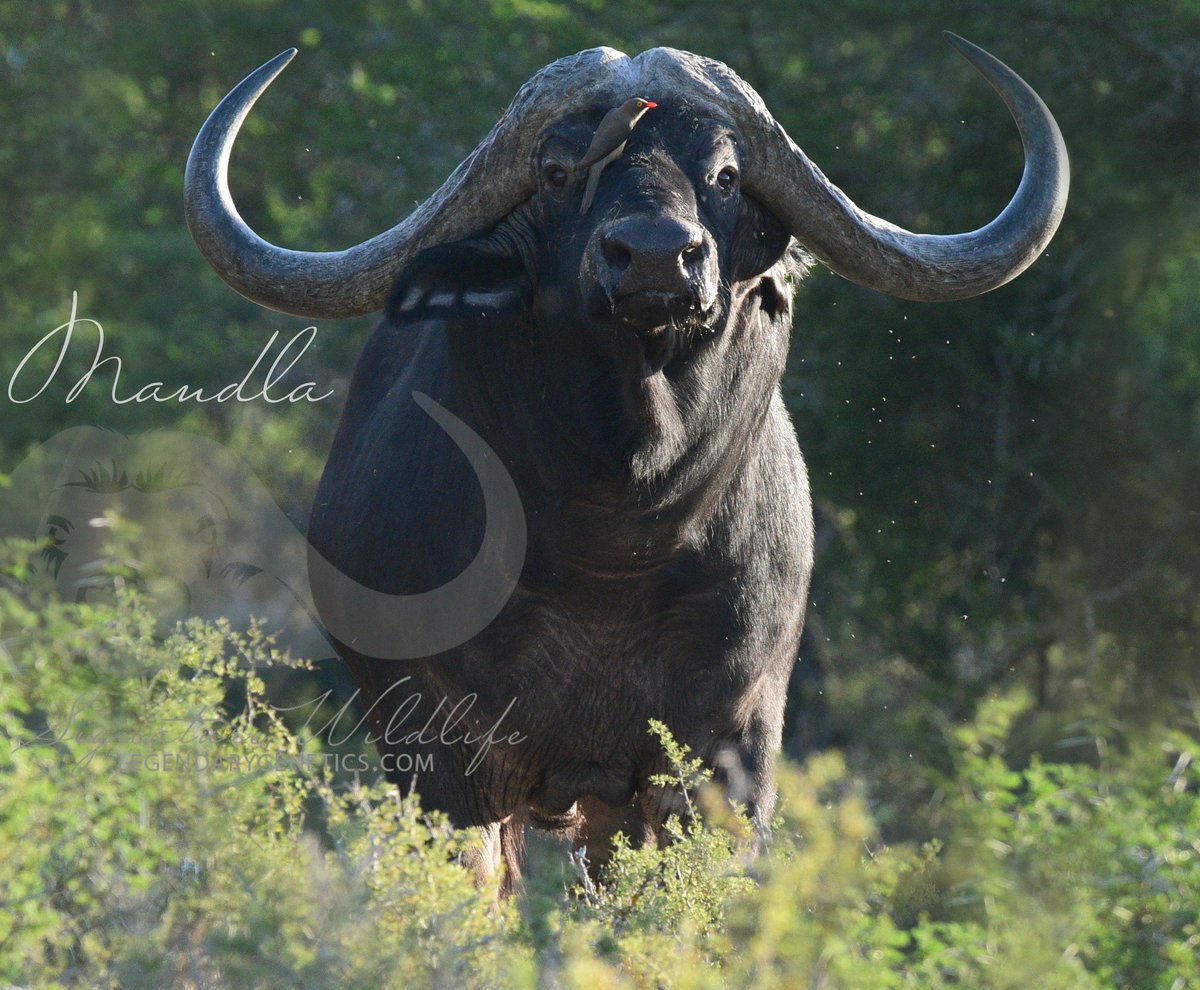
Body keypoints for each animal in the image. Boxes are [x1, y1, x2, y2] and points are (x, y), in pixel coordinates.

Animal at [184, 35, 1067, 890]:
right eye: (557, 172)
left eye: (725, 174)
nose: (654, 257)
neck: (611, 540)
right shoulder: (439, 757)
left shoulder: (727, 753)